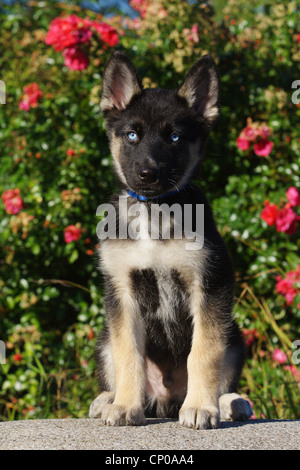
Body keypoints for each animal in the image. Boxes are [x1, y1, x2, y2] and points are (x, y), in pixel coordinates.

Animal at [89, 51, 253, 430]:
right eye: (132, 135)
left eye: (175, 138)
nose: (148, 174)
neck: (155, 210)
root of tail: (164, 401)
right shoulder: (121, 290)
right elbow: (128, 353)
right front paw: (124, 405)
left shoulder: (210, 285)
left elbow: (203, 352)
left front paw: (202, 408)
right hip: (103, 337)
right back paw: (108, 399)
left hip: (235, 335)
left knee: (222, 373)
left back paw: (227, 402)